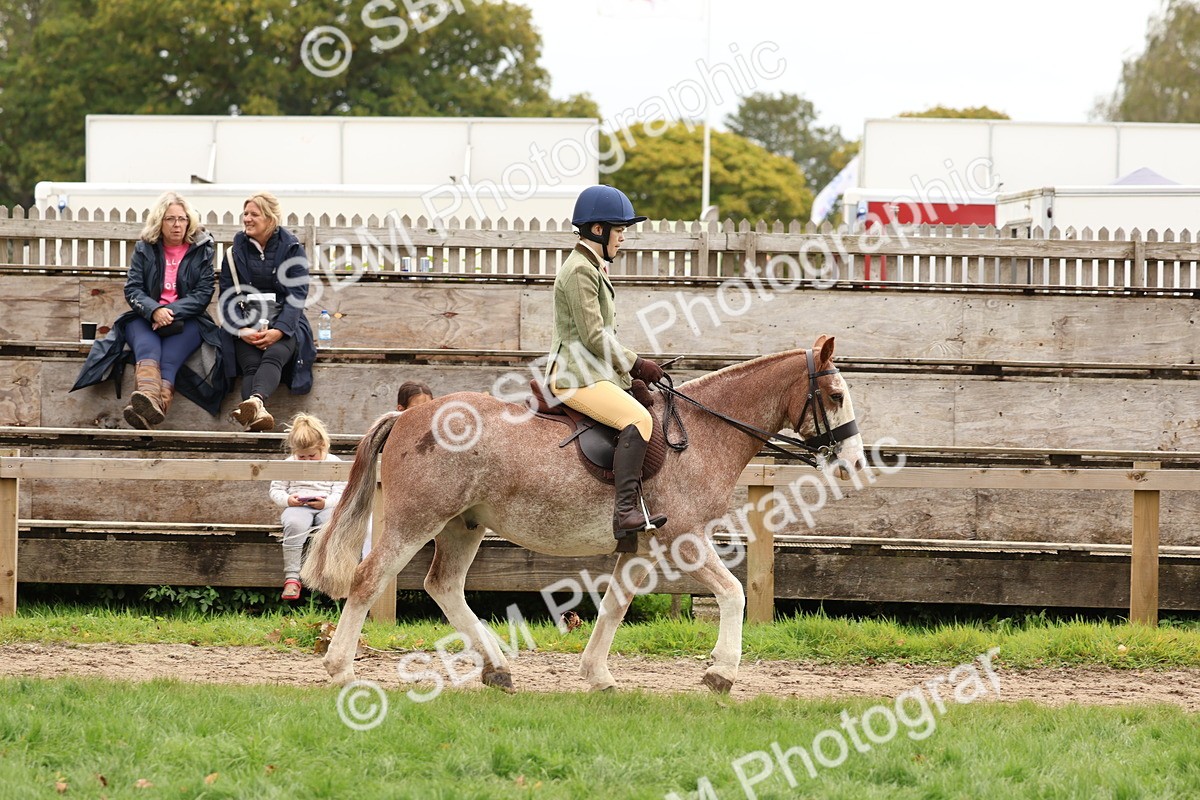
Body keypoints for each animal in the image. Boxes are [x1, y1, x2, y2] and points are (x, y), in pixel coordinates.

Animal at [301, 335, 866, 693]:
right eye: (836, 395)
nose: (854, 463)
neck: (702, 432)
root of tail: (410, 414)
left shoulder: (641, 545)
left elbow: (615, 605)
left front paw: (597, 675)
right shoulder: (683, 539)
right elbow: (732, 593)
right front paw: (721, 673)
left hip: (464, 524)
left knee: (444, 586)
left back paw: (497, 669)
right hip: (416, 521)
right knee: (370, 578)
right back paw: (341, 670)